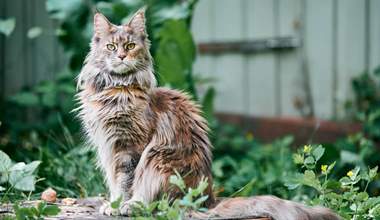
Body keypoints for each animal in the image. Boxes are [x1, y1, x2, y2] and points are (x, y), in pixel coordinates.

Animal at [76, 7, 342, 219]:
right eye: (111, 47)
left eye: (130, 46)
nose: (121, 56)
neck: (116, 89)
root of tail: (207, 200)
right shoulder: (108, 148)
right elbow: (115, 184)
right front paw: (111, 204)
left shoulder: (130, 148)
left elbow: (126, 183)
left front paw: (120, 206)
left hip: (157, 160)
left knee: (162, 206)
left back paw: (135, 206)